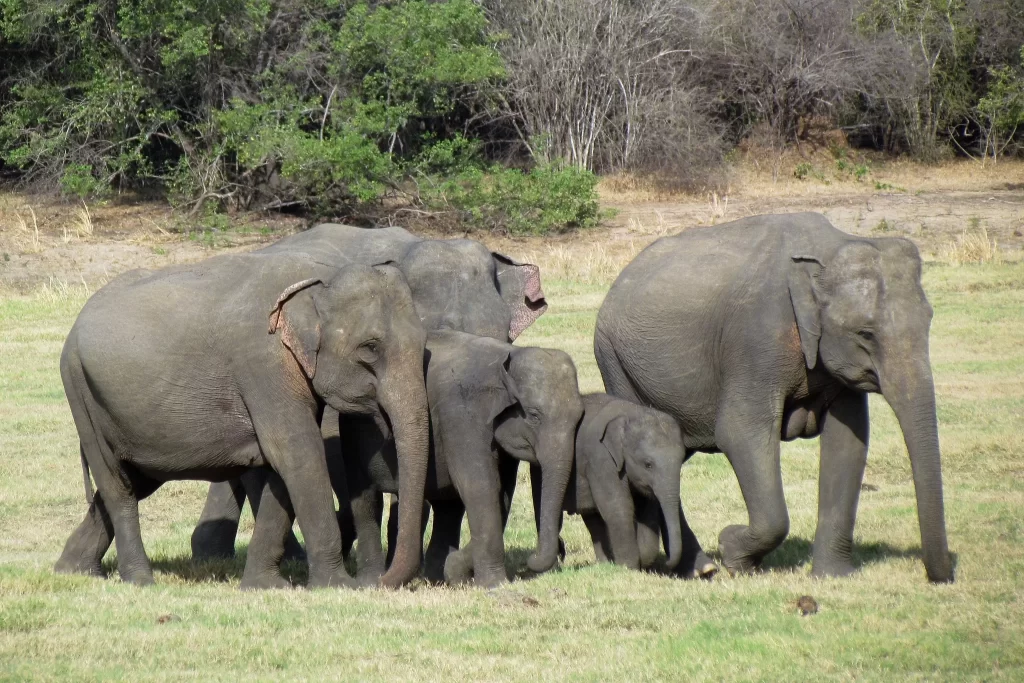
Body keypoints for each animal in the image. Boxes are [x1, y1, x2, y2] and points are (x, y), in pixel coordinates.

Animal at [54, 253, 430, 589]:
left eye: (424, 346)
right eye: (370, 348)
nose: (380, 582)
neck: (320, 275)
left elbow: (283, 468)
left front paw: (265, 587)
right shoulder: (262, 364)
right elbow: (297, 453)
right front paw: (338, 586)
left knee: (135, 480)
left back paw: (73, 571)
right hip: (80, 391)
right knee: (118, 486)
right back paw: (140, 581)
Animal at [339, 331, 585, 589]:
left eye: (580, 418)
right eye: (535, 416)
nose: (560, 551)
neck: (506, 355)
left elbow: (503, 491)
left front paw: (457, 569)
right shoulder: (460, 414)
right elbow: (479, 485)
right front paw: (494, 585)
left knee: (448, 508)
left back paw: (437, 578)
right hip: (352, 433)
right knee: (367, 501)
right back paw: (372, 580)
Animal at [598, 211, 954, 581]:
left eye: (929, 320)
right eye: (865, 333)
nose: (941, 576)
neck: (829, 246)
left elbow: (849, 440)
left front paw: (832, 576)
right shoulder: (756, 338)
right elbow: (739, 431)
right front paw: (733, 551)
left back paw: (702, 567)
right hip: (617, 365)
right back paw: (703, 568)